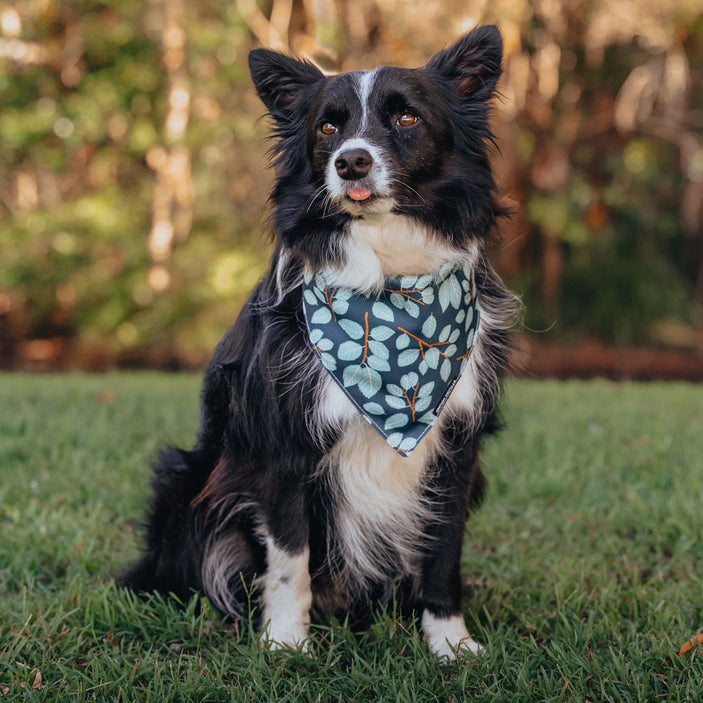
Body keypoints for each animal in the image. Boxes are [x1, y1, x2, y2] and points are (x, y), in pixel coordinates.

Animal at [118, 26, 516, 660]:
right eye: (328, 128)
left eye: (406, 117)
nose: (350, 161)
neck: (388, 286)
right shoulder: (285, 446)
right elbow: (289, 560)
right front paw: (285, 643)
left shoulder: (457, 447)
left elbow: (443, 553)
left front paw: (450, 642)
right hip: (184, 479)